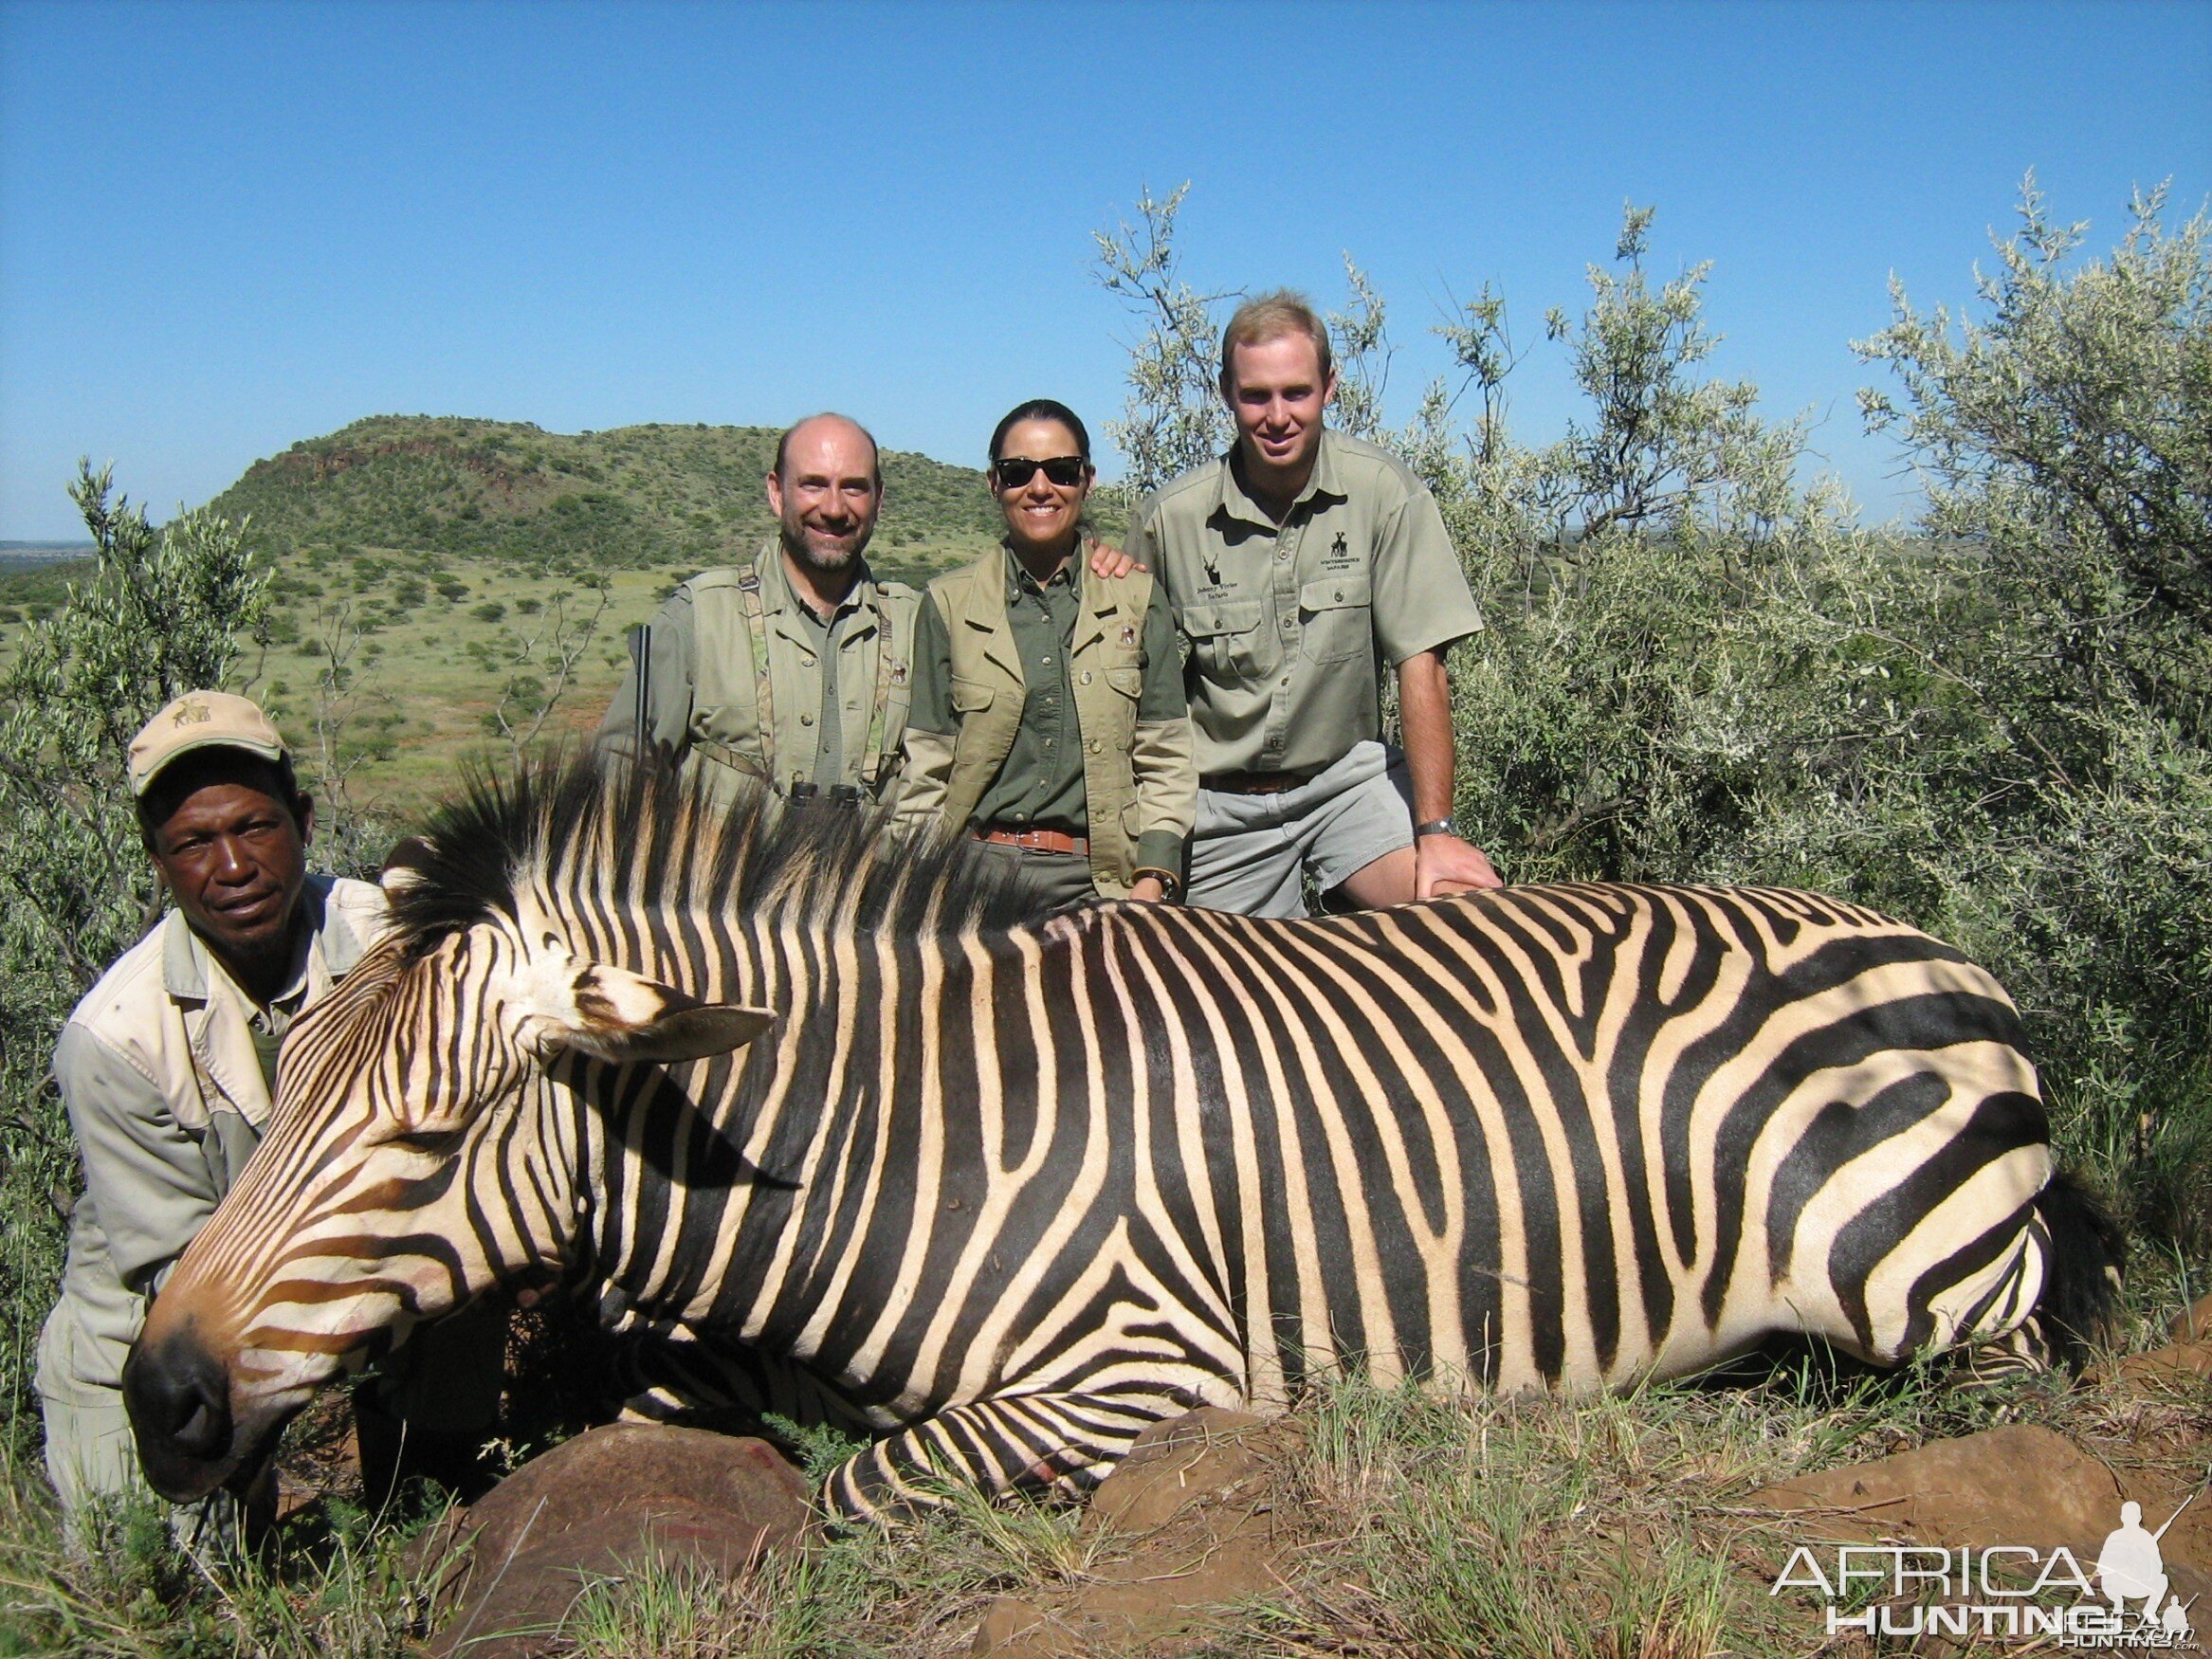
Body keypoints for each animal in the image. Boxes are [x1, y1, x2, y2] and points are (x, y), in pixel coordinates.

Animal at [120, 752, 2123, 1522]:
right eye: (280, 1079)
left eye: (427, 1142)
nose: (162, 1399)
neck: (895, 1135)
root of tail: (1943, 949)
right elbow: (641, 1424)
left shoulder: (1138, 1368)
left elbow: (861, 1486)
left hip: (1918, 1293)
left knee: (1979, 1379)